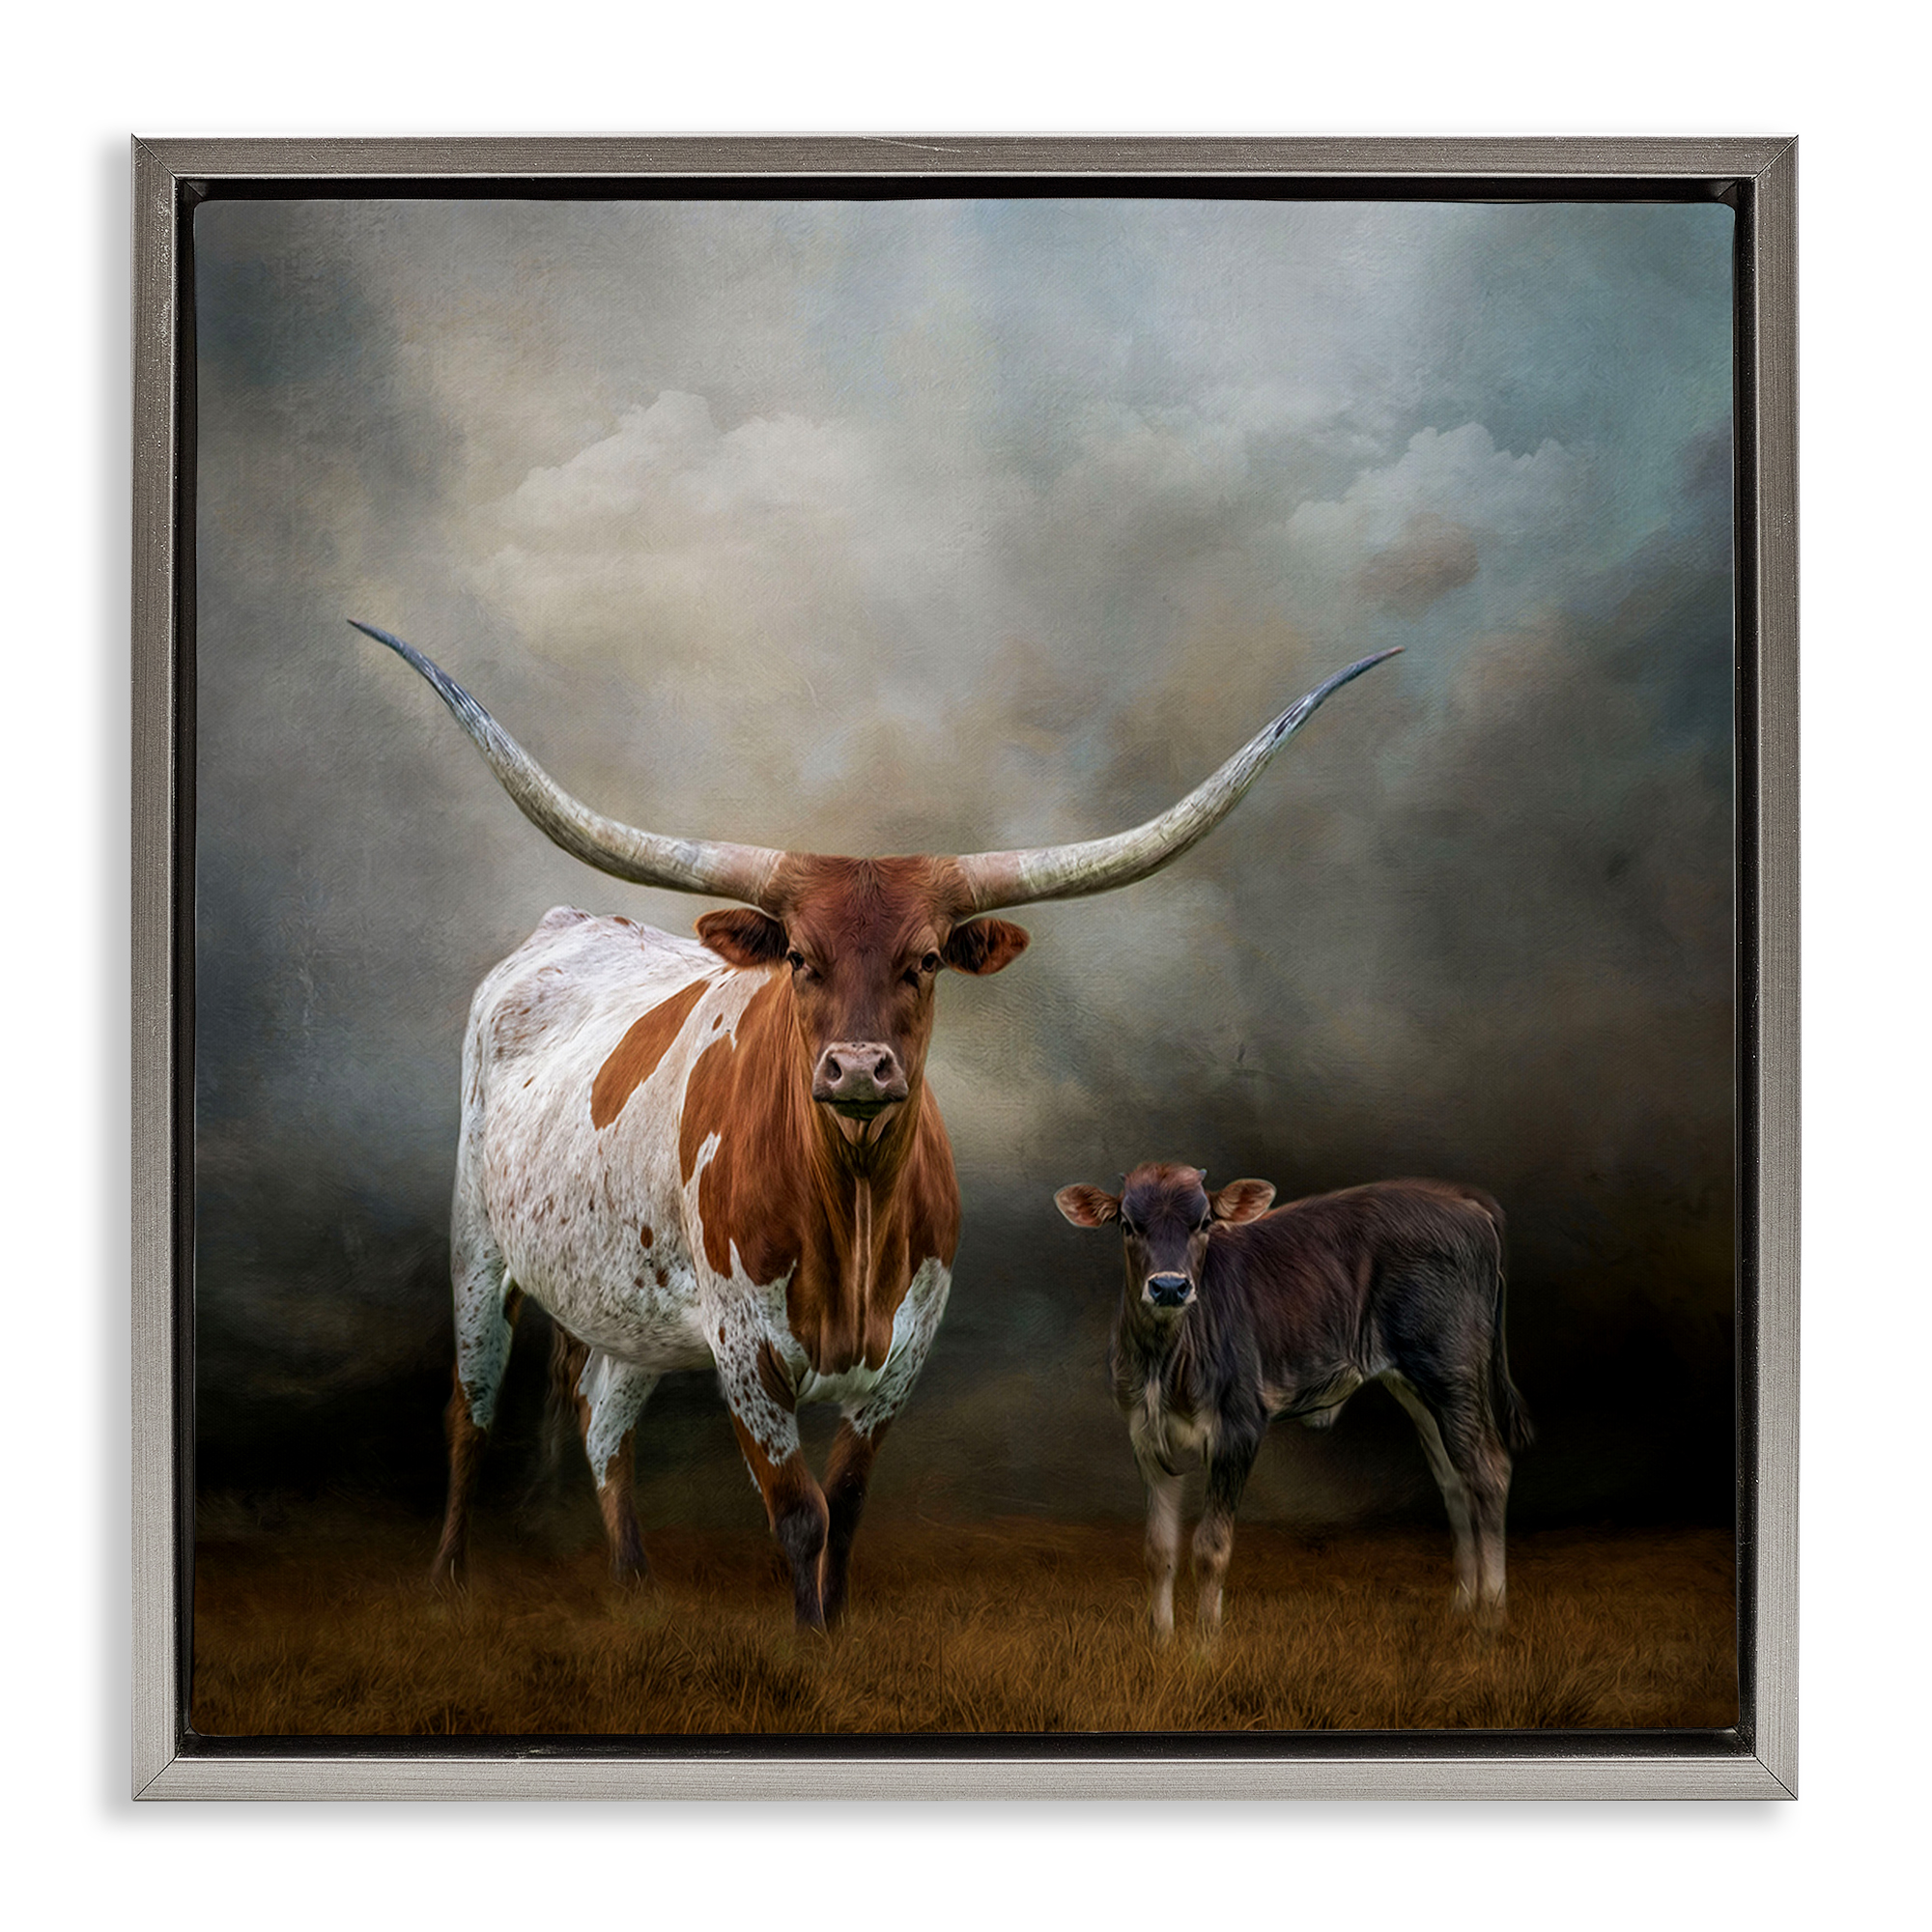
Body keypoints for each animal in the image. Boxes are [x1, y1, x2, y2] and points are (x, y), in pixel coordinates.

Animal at [350, 620, 1398, 1628]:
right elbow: (800, 1513)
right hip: (479, 1248)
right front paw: (811, 1642)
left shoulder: (906, 1353)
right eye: (799, 957)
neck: (849, 1210)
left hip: (625, 1301)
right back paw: (448, 1581)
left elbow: (847, 1509)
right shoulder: (743, 1352)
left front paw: (839, 1629)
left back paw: (635, 1587)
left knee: (605, 1418)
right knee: (470, 1410)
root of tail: (568, 921)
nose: (857, 1067)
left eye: (926, 958)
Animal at [1054, 1162, 1531, 1640]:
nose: (1169, 1287)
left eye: (1204, 1222)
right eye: (1128, 1225)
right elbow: (1158, 1551)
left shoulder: (1239, 1425)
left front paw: (1205, 1645)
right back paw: (1462, 1608)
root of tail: (1458, 1199)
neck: (1164, 1362)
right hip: (1416, 1387)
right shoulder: (1145, 1434)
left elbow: (1211, 1547)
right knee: (1454, 1480)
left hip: (1453, 1372)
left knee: (1487, 1471)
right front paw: (1162, 1641)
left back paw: (1490, 1618)